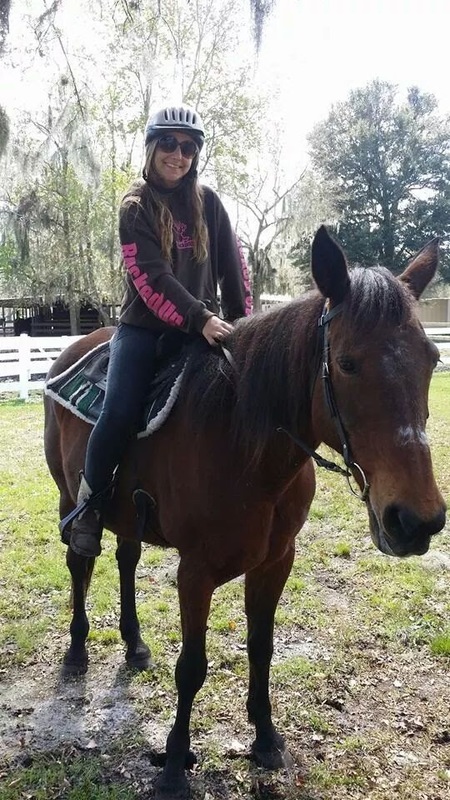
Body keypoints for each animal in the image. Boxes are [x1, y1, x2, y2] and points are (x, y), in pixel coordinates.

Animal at [44, 227, 444, 800]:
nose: (416, 521)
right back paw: (77, 650)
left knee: (126, 559)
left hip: (128, 514)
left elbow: (261, 647)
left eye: (431, 358)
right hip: (69, 496)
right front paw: (173, 764)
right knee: (81, 562)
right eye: (347, 362)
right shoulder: (195, 572)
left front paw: (265, 738)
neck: (244, 444)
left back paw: (135, 644)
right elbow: (191, 667)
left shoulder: (276, 561)